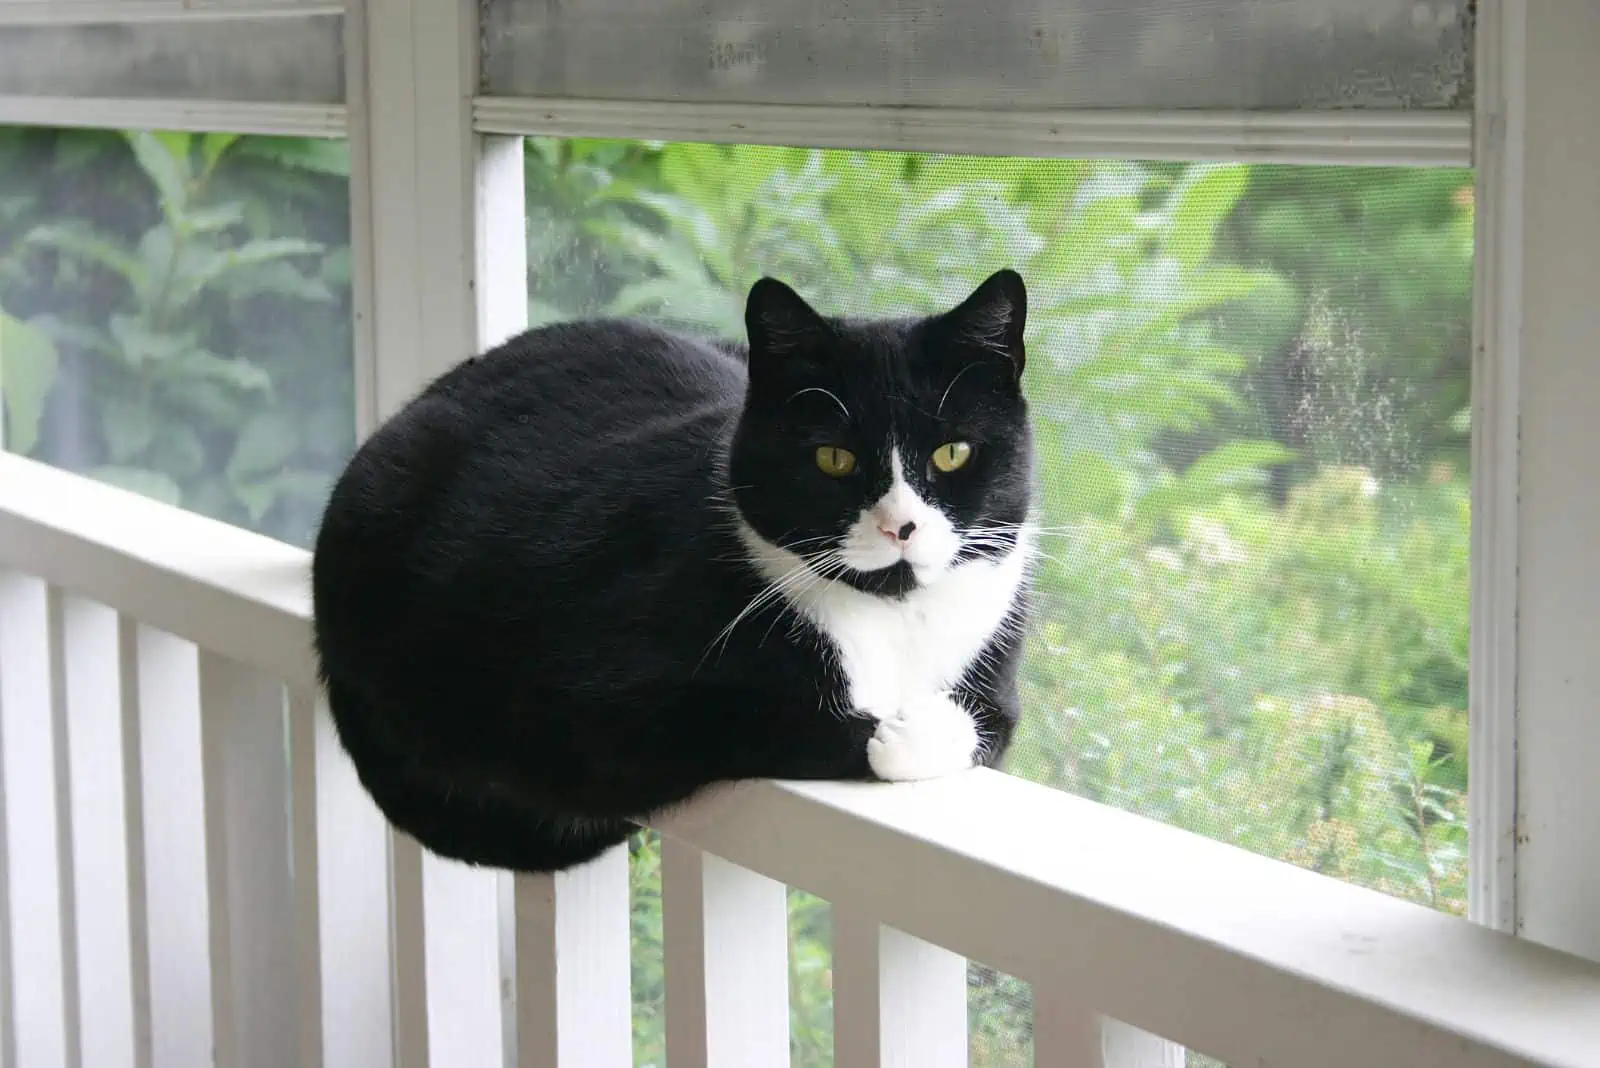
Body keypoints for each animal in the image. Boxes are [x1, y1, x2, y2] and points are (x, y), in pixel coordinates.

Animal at [312, 268, 1036, 876]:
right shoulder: (576, 709)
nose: (899, 527)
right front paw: (897, 734)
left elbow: (989, 719)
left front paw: (927, 724)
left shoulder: (994, 663)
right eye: (833, 458)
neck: (891, 624)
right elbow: (753, 718)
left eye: (952, 452)